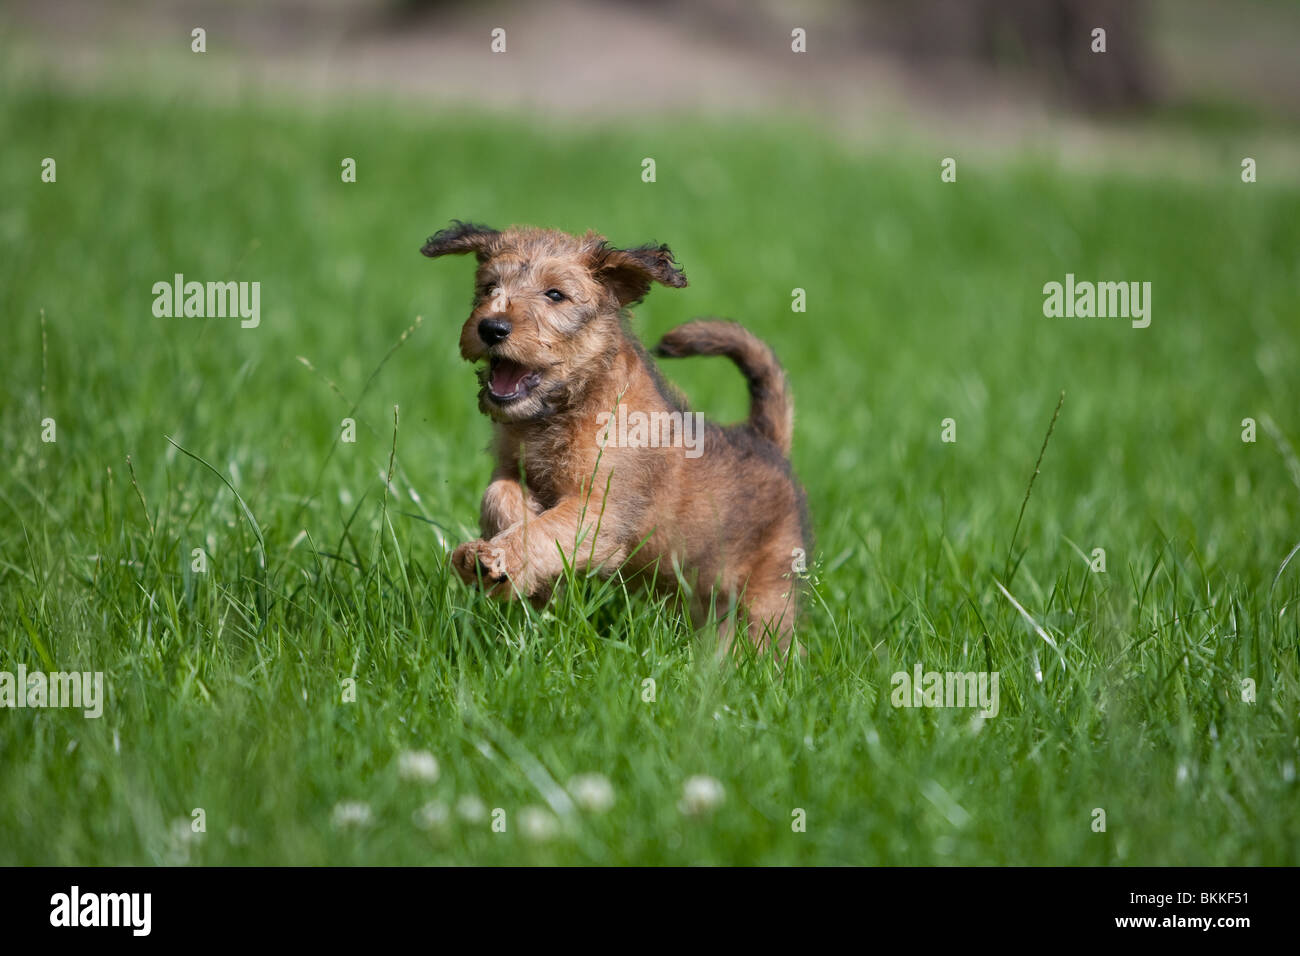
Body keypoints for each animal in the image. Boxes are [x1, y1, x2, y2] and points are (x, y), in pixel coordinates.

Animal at [421, 221, 806, 655]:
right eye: (489, 287)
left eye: (555, 295)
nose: (491, 327)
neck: (568, 407)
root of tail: (765, 439)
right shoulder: (509, 464)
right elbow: (499, 495)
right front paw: (519, 546)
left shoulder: (602, 511)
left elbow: (547, 531)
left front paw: (498, 560)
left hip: (769, 593)